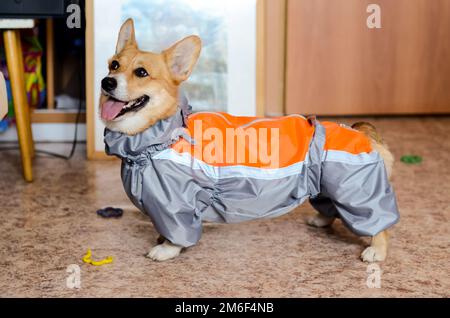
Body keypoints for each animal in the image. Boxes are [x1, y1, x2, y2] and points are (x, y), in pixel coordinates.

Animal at [100, 20, 400, 264]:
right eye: (114, 65)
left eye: (141, 73)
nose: (106, 82)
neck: (157, 140)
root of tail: (362, 131)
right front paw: (162, 240)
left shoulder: (176, 205)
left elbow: (177, 233)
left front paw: (166, 249)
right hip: (327, 186)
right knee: (331, 207)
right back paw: (321, 220)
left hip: (356, 192)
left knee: (378, 222)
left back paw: (376, 251)